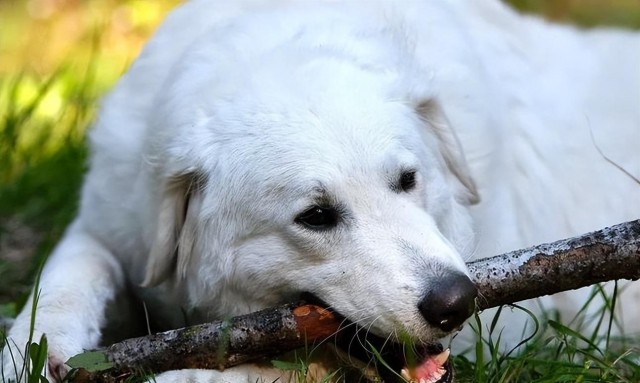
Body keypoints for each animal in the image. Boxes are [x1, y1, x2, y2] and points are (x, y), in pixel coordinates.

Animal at [2, 0, 636, 383]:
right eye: (316, 216)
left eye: (408, 181)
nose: (456, 301)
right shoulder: (110, 220)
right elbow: (61, 279)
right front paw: (32, 355)